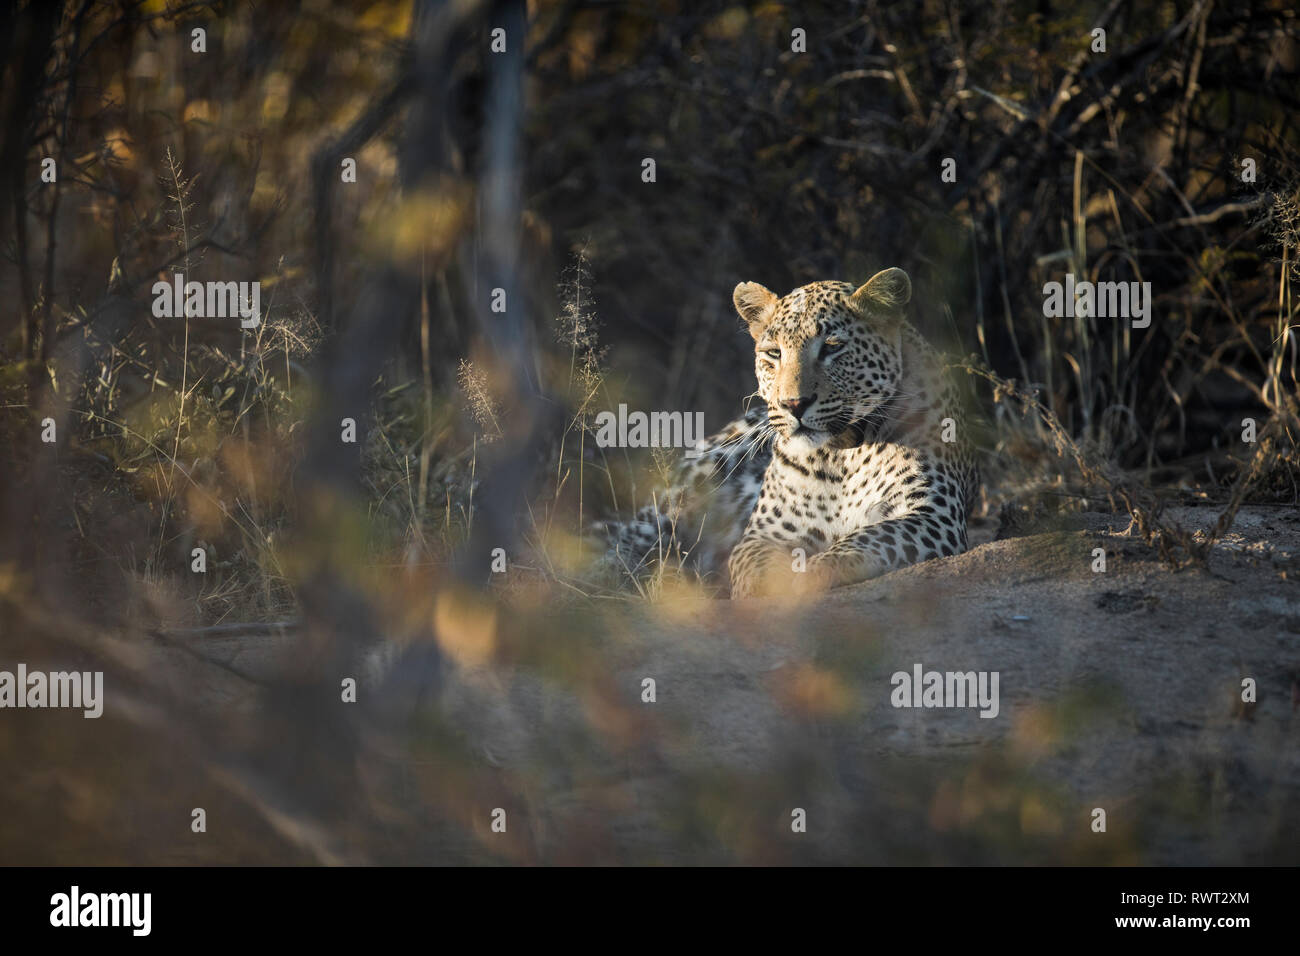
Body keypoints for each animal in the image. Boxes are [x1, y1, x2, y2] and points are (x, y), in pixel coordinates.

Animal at [598, 267, 978, 599]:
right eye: (773, 353)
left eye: (832, 347)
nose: (794, 404)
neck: (839, 455)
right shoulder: (765, 533)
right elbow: (759, 567)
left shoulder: (930, 515)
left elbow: (867, 540)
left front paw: (816, 573)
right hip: (697, 479)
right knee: (626, 536)